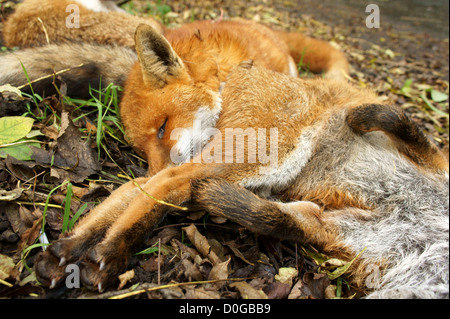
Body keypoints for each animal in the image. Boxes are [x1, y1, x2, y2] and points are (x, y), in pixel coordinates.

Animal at [33, 25, 448, 300]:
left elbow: (140, 194)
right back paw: (102, 252)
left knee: (150, 187)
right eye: (139, 149)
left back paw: (88, 252)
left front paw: (82, 248)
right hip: (257, 160)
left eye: (164, 127)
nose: (149, 165)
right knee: (155, 186)